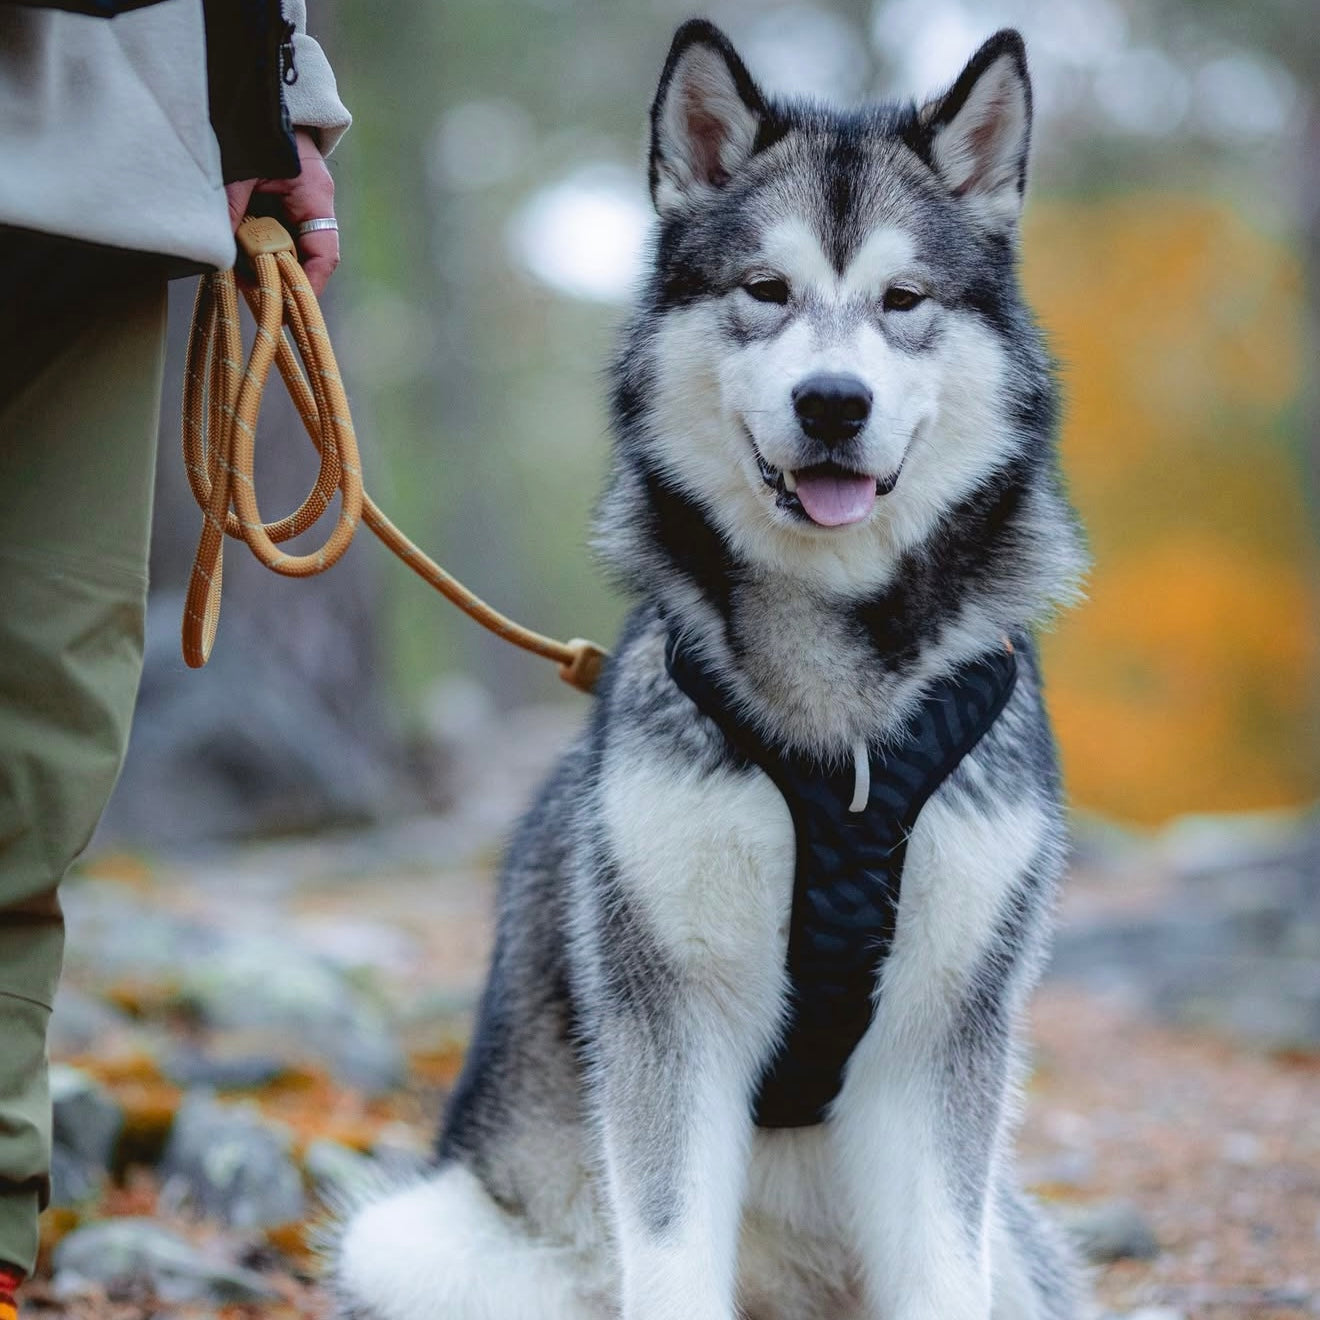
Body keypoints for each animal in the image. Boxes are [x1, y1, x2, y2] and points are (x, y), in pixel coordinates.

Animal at [333, 17, 1087, 1320]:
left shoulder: (944, 1036)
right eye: (765, 292)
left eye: (903, 300)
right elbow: (672, 1246)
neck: (839, 725)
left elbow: (941, 1259)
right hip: (419, 1241)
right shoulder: (669, 1015)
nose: (832, 403)